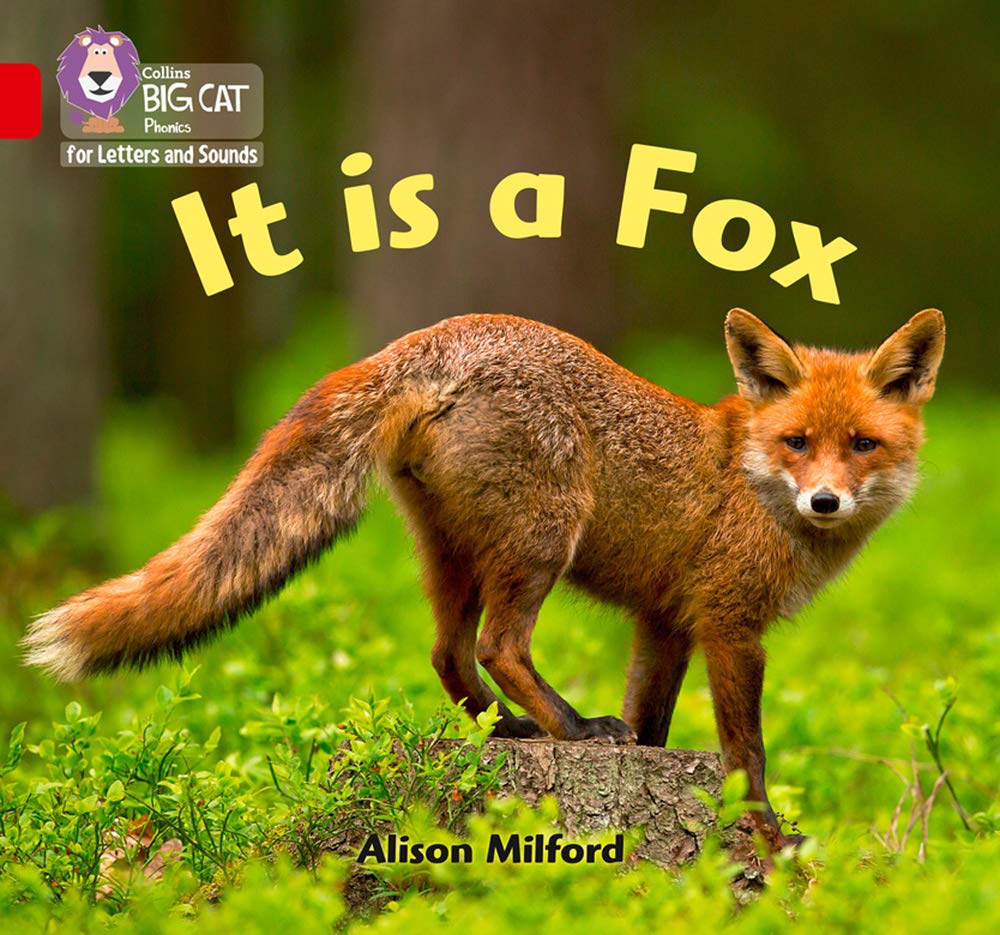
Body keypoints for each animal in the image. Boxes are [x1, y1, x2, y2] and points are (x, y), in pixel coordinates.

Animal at [23, 307, 945, 848]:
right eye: (798, 442)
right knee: (502, 646)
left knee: (447, 655)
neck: (748, 475)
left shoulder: (664, 621)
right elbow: (746, 749)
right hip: (541, 540)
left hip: (454, 555)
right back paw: (572, 729)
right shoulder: (729, 622)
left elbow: (655, 724)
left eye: (862, 444)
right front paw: (766, 835)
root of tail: (426, 337)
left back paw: (509, 731)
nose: (825, 499)